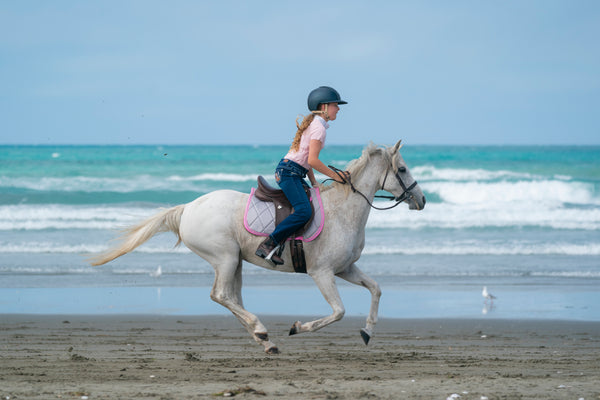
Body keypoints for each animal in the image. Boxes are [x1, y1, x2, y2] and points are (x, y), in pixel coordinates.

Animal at [91, 141, 424, 354]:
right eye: (402, 169)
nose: (421, 200)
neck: (343, 211)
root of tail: (187, 209)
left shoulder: (346, 269)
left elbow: (376, 289)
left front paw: (367, 332)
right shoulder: (322, 273)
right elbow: (339, 312)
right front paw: (297, 327)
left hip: (235, 261)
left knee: (231, 297)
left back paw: (265, 341)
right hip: (225, 258)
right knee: (221, 295)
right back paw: (262, 330)